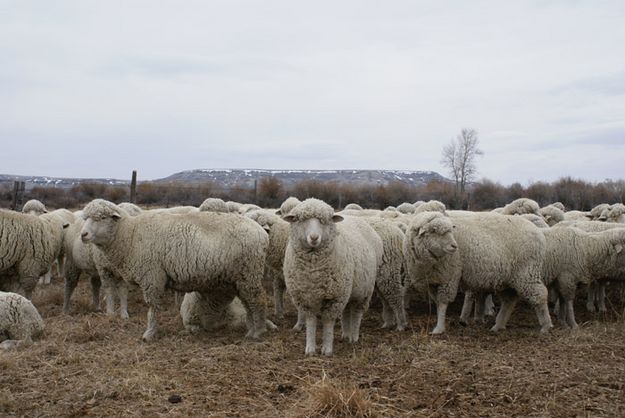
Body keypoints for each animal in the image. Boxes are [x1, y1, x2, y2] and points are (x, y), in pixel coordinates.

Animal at [79, 198, 270, 340]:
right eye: (85, 218)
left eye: (102, 218)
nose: (83, 235)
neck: (129, 235)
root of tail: (262, 233)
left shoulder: (152, 277)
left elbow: (152, 307)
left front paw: (149, 333)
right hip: (241, 276)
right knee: (248, 302)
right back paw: (250, 330)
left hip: (249, 272)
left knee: (257, 300)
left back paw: (258, 332)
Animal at [282, 199, 380, 356]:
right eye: (301, 220)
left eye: (325, 221)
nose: (314, 237)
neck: (314, 271)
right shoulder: (305, 298)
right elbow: (311, 322)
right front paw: (310, 349)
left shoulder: (334, 297)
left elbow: (328, 323)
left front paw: (327, 349)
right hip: (348, 290)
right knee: (347, 310)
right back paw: (346, 334)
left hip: (363, 290)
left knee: (357, 313)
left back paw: (354, 336)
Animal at [402, 211, 548, 334]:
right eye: (433, 231)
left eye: (450, 231)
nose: (454, 246)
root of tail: (539, 233)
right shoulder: (433, 280)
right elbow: (438, 303)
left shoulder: (449, 277)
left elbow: (443, 303)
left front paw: (439, 328)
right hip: (508, 278)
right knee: (509, 300)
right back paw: (498, 325)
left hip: (527, 272)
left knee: (540, 295)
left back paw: (546, 325)